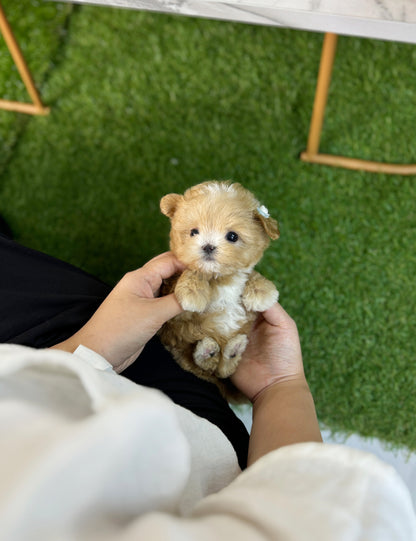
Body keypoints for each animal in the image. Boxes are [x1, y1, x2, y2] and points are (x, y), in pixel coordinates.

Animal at [159, 180, 280, 396]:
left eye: (232, 236)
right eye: (193, 232)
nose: (208, 246)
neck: (220, 278)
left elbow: (250, 276)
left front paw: (262, 292)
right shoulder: (174, 315)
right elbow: (190, 277)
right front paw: (192, 291)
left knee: (224, 370)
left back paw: (233, 350)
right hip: (181, 348)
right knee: (206, 367)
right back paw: (208, 351)